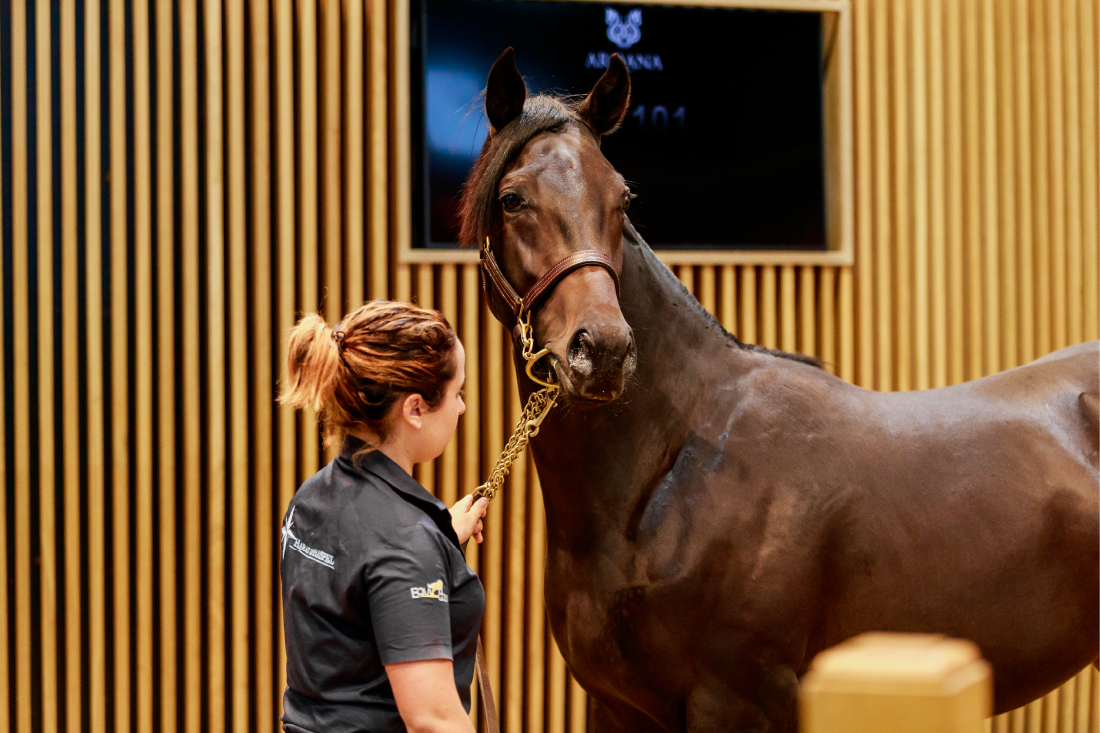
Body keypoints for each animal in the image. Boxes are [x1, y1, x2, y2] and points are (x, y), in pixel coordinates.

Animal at [459, 48, 1095, 726]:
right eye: (512, 198)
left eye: (622, 198)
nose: (602, 351)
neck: (674, 469)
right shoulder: (615, 709)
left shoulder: (734, 701)